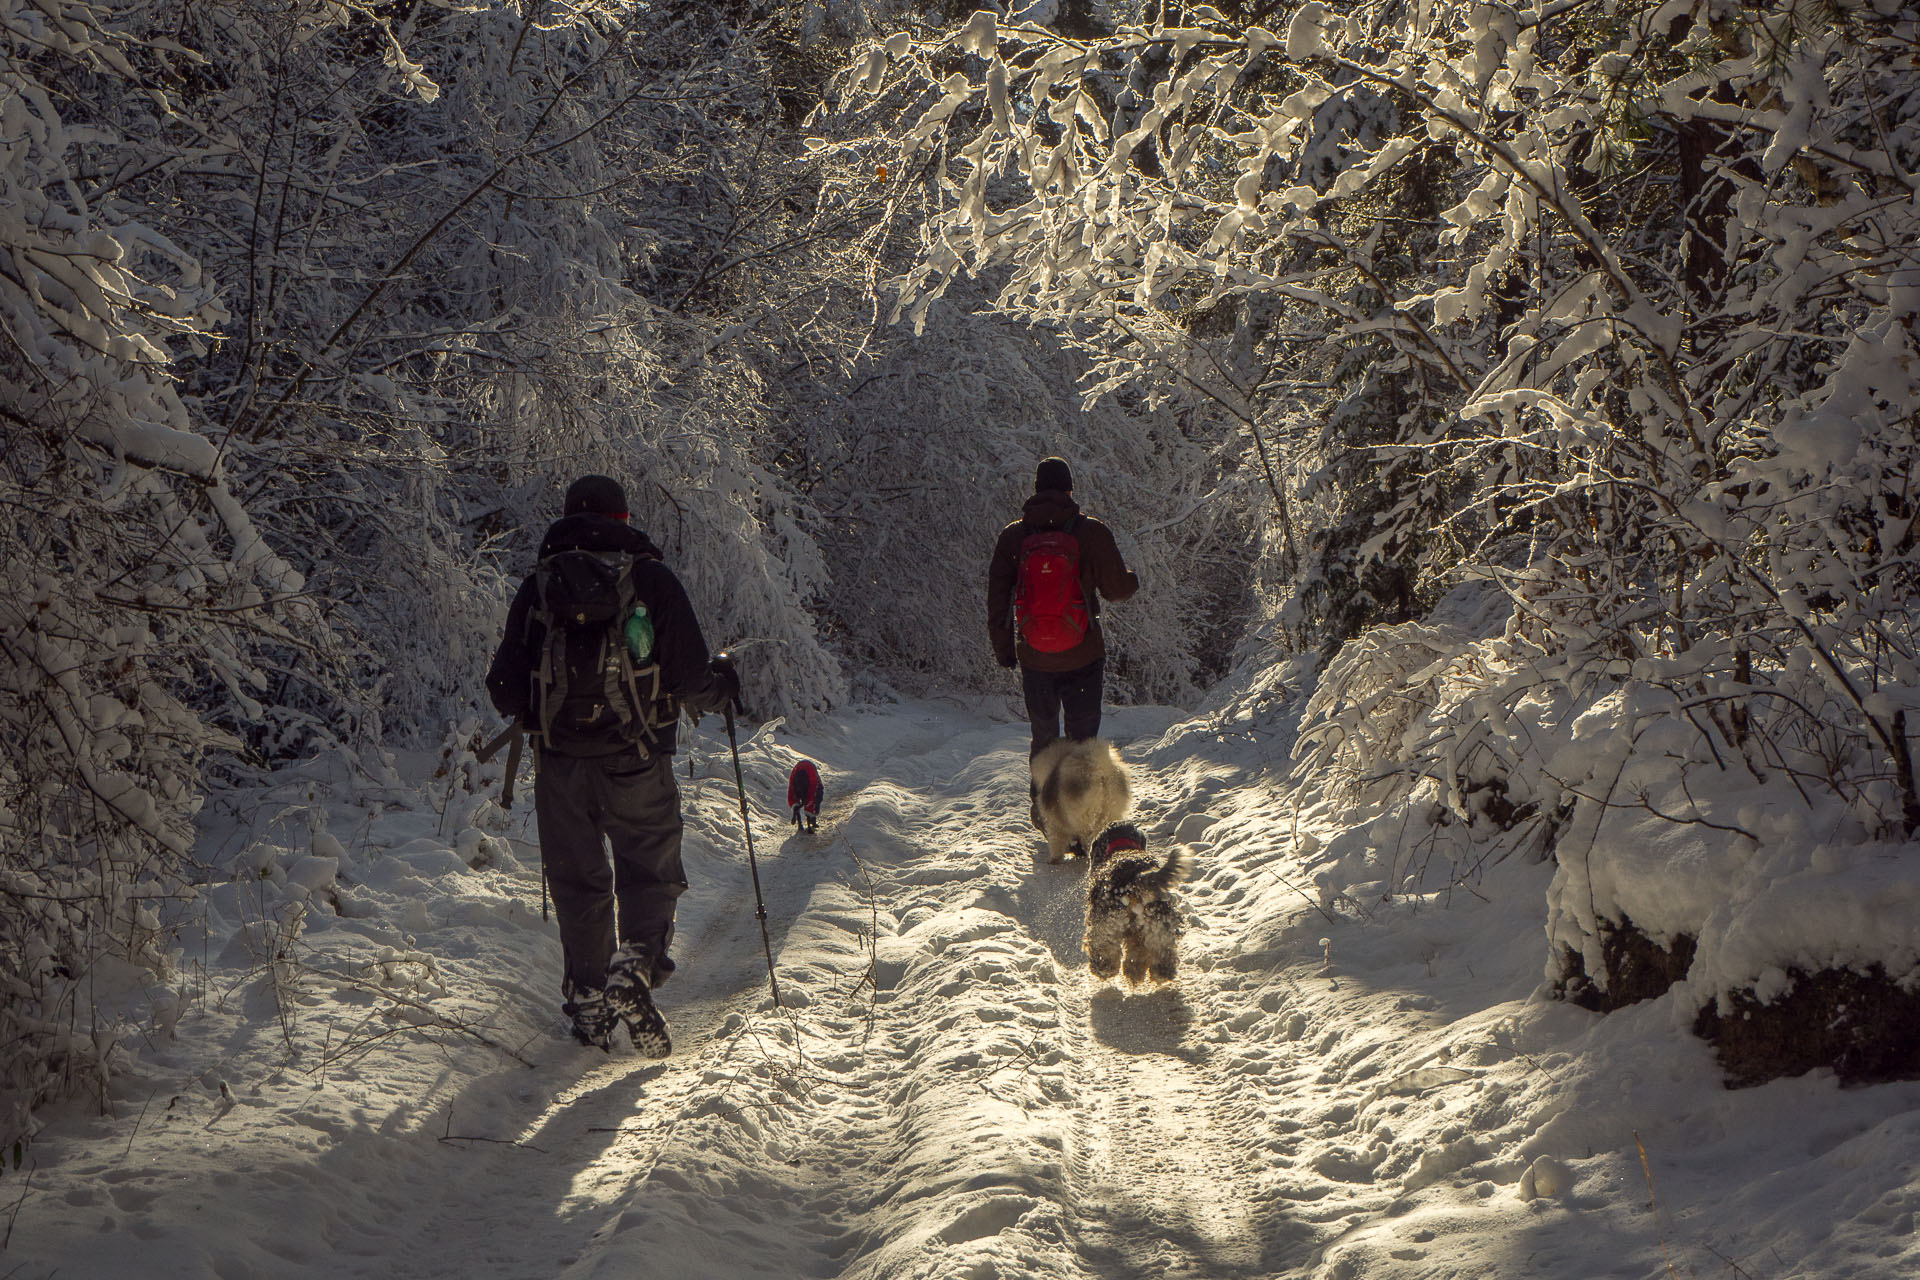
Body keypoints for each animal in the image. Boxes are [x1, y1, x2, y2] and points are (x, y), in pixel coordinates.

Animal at [1029, 736, 1128, 867]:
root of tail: (1099, 769)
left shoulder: (1054, 823)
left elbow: (1056, 843)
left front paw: (1054, 859)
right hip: (1110, 812)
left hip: (1083, 816)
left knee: (1088, 838)